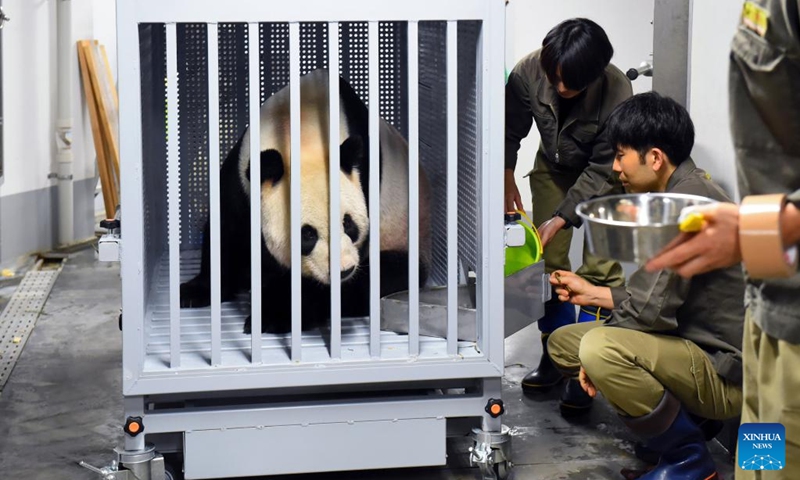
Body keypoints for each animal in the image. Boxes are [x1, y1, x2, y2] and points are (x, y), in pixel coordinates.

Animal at [180, 69, 432, 334]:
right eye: (307, 234)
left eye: (348, 224)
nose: (344, 270)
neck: (300, 134)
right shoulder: (242, 173)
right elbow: (227, 228)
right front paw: (196, 291)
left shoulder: (366, 177)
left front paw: (276, 313)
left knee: (382, 276)